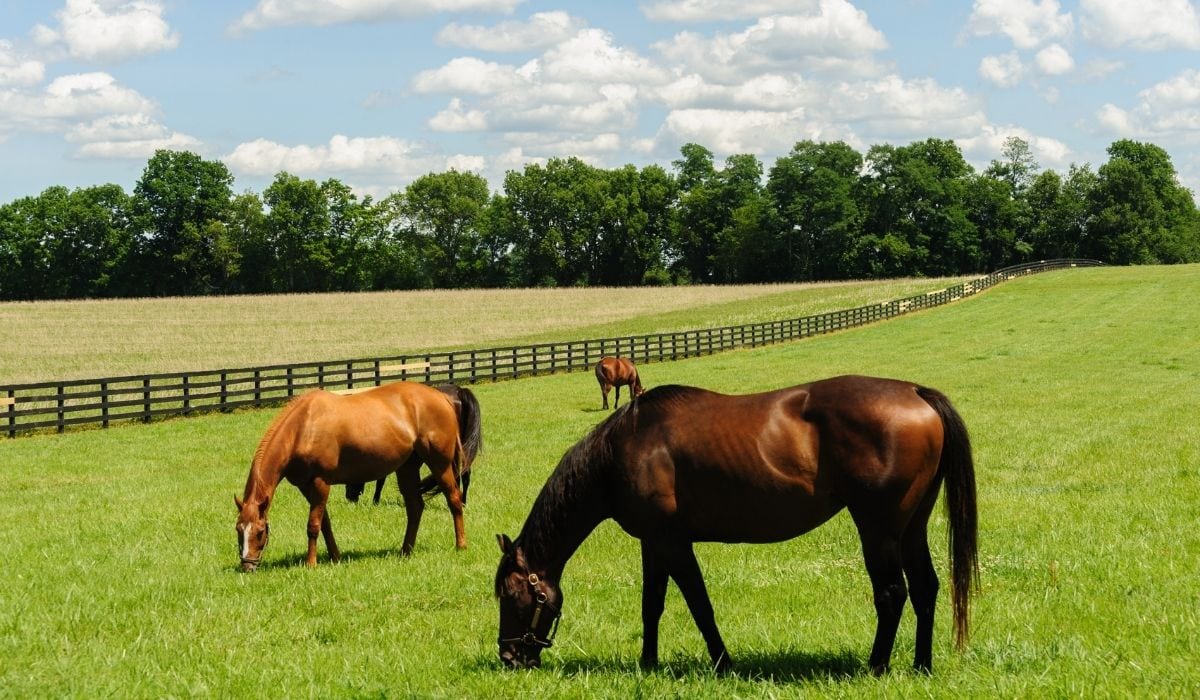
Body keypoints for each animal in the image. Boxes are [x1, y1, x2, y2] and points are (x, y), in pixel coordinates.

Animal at [344, 384, 480, 505]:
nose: (349, 498)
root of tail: (460, 392)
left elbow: (381, 479)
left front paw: (375, 500)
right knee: (465, 474)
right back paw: (463, 502)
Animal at [495, 375, 978, 675]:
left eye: (512, 595)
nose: (509, 657)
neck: (622, 448)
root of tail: (916, 393)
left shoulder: (673, 543)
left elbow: (700, 606)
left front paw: (722, 663)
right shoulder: (653, 543)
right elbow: (652, 605)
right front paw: (648, 663)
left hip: (878, 531)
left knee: (892, 594)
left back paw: (876, 667)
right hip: (911, 528)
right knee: (926, 588)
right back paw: (921, 665)